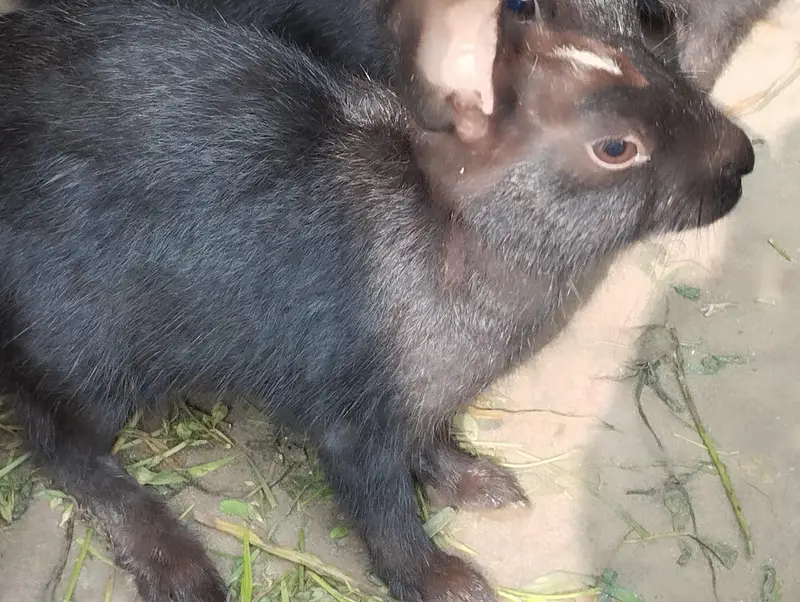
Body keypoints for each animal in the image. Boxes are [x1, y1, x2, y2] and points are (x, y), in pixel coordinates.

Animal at [0, 0, 754, 601]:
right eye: (616, 148)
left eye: (647, 57)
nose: (742, 160)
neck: (456, 228)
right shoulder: (354, 422)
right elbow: (385, 509)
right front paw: (445, 583)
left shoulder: (421, 404)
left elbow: (432, 441)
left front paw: (479, 484)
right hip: (87, 357)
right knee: (60, 446)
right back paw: (177, 564)